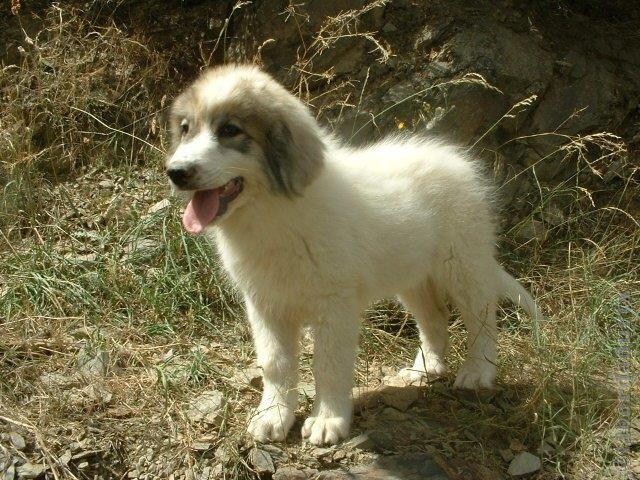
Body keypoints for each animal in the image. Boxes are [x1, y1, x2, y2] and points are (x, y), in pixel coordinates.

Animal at [165, 64, 540, 446]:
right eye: (186, 129)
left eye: (230, 130)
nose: (176, 173)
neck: (270, 211)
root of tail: (455, 161)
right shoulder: (265, 304)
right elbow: (275, 364)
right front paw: (273, 416)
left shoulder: (334, 304)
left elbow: (329, 365)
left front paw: (327, 419)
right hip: (412, 274)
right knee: (434, 318)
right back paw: (425, 369)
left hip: (463, 263)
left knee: (483, 318)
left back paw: (478, 371)